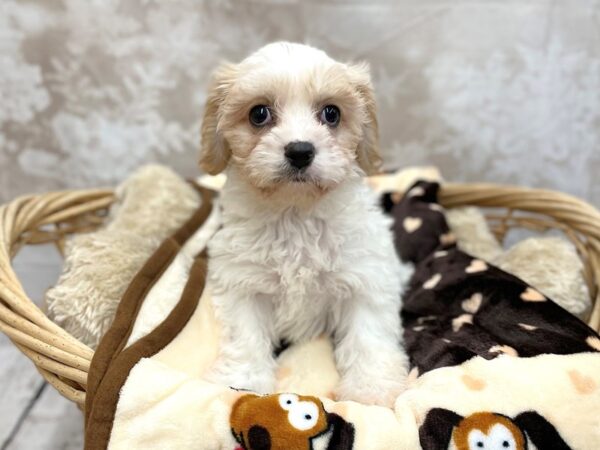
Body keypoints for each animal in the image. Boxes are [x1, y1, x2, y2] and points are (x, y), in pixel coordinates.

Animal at [199, 43, 410, 408]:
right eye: (259, 114)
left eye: (331, 113)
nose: (299, 150)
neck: (295, 213)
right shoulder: (243, 283)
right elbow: (245, 335)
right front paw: (242, 382)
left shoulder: (364, 278)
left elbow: (368, 335)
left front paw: (370, 390)